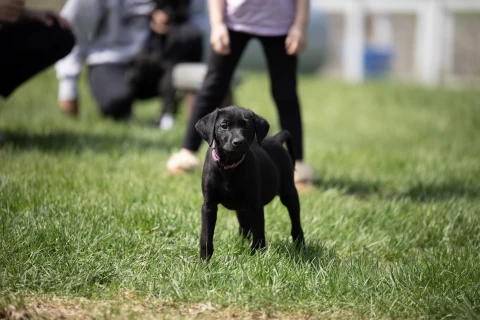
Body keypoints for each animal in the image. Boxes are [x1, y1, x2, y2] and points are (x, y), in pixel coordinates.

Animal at [195, 105, 304, 260]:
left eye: (247, 126)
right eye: (224, 126)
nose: (238, 142)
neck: (229, 166)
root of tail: (276, 139)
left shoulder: (255, 205)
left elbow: (258, 234)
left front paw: (258, 258)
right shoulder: (209, 205)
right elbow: (206, 235)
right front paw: (205, 261)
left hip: (289, 193)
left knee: (296, 223)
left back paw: (300, 246)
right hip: (241, 207)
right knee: (244, 227)